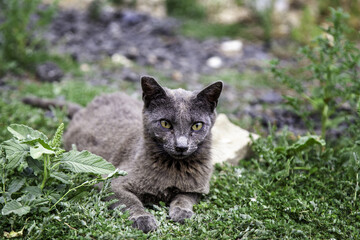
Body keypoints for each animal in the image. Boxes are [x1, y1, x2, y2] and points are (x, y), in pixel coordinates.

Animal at [23, 76, 222, 232]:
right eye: (165, 123)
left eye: (197, 125)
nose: (181, 146)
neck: (174, 168)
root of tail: (86, 108)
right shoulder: (110, 182)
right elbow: (130, 200)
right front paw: (143, 219)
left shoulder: (199, 187)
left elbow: (185, 196)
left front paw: (182, 212)